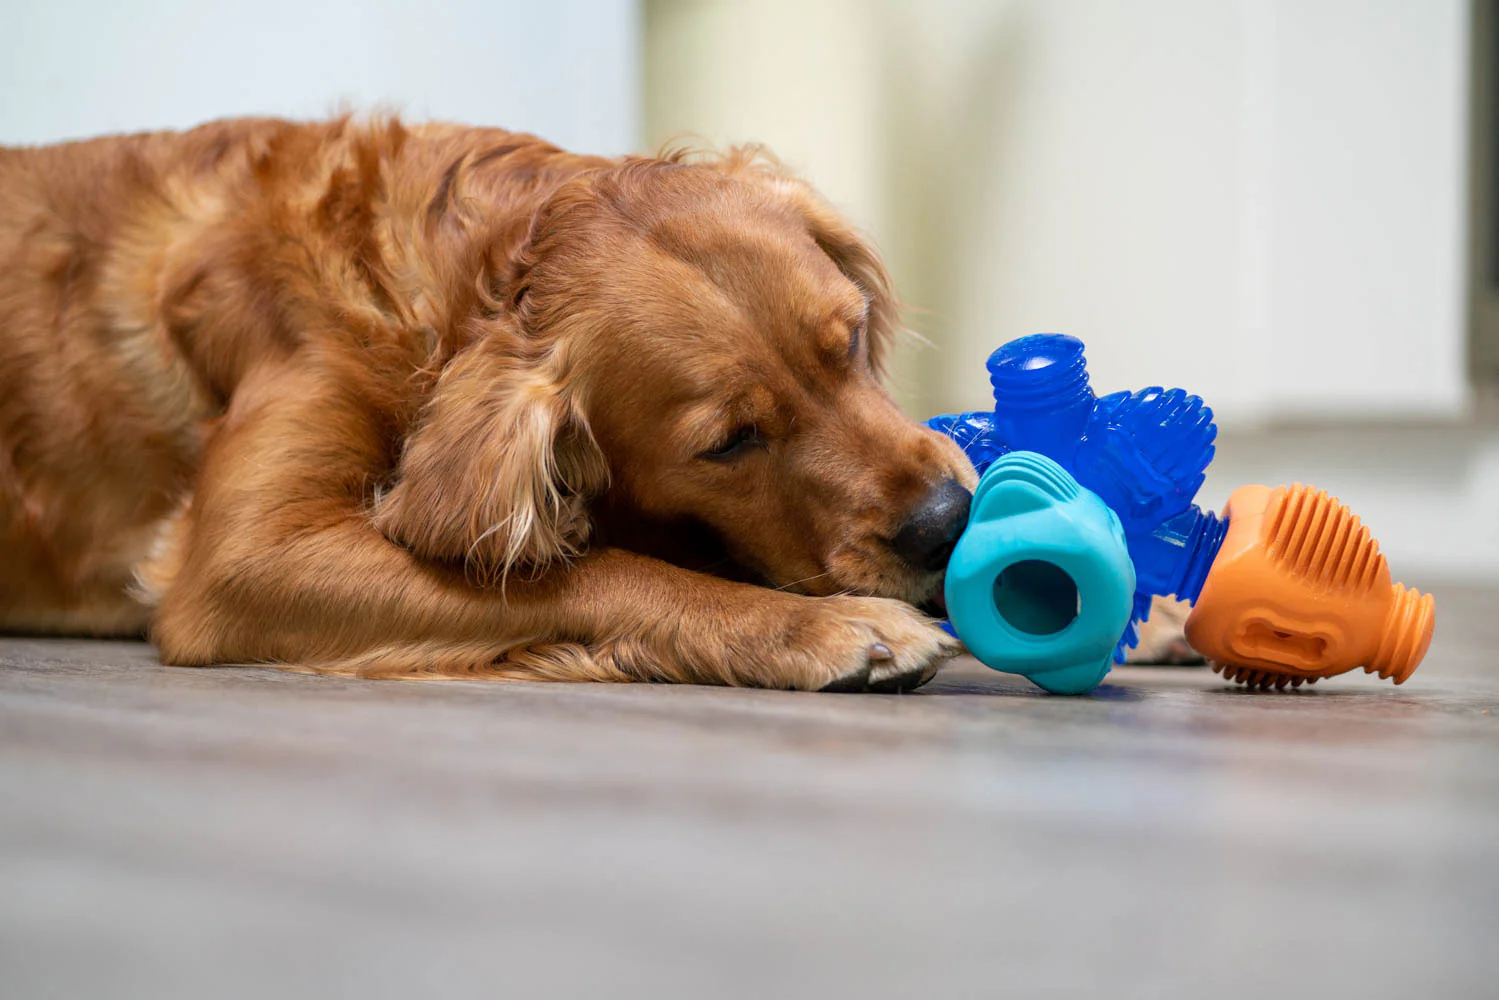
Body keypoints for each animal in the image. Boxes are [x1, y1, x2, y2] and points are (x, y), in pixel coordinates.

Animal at [0, 117, 1193, 692]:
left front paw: (1168, 611)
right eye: (732, 440)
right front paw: (824, 626)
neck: (434, 292)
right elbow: (597, 570)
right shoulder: (243, 557)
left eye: (849, 338)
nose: (948, 524)